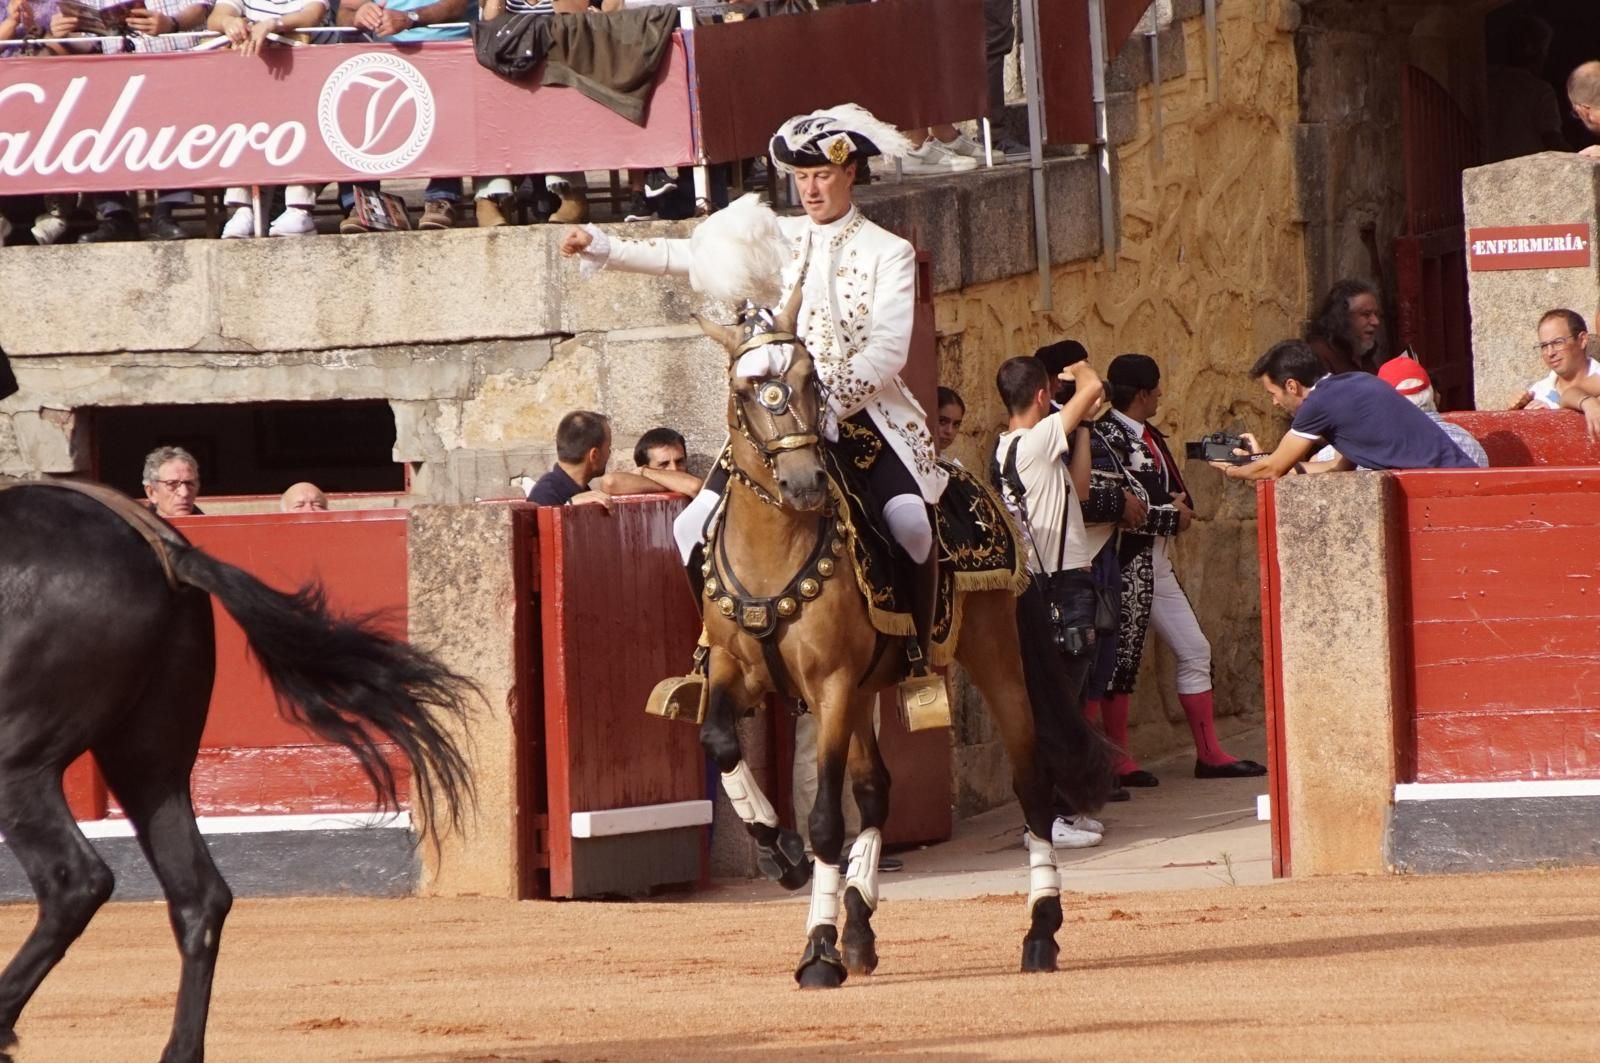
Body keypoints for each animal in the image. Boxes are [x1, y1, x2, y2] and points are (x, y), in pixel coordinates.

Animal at [0, 480, 475, 1062]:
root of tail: (164, 553)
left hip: (21, 761)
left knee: (76, 882)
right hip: (150, 762)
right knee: (198, 896)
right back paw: (178, 1051)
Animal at [689, 283, 1114, 987]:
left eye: (808, 382)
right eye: (750, 391)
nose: (804, 484)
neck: (775, 550)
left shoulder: (830, 685)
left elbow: (826, 820)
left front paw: (818, 950)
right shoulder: (736, 668)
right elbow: (720, 741)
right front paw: (779, 852)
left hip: (992, 659)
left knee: (1031, 784)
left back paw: (1040, 931)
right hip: (865, 690)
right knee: (876, 789)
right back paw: (860, 925)